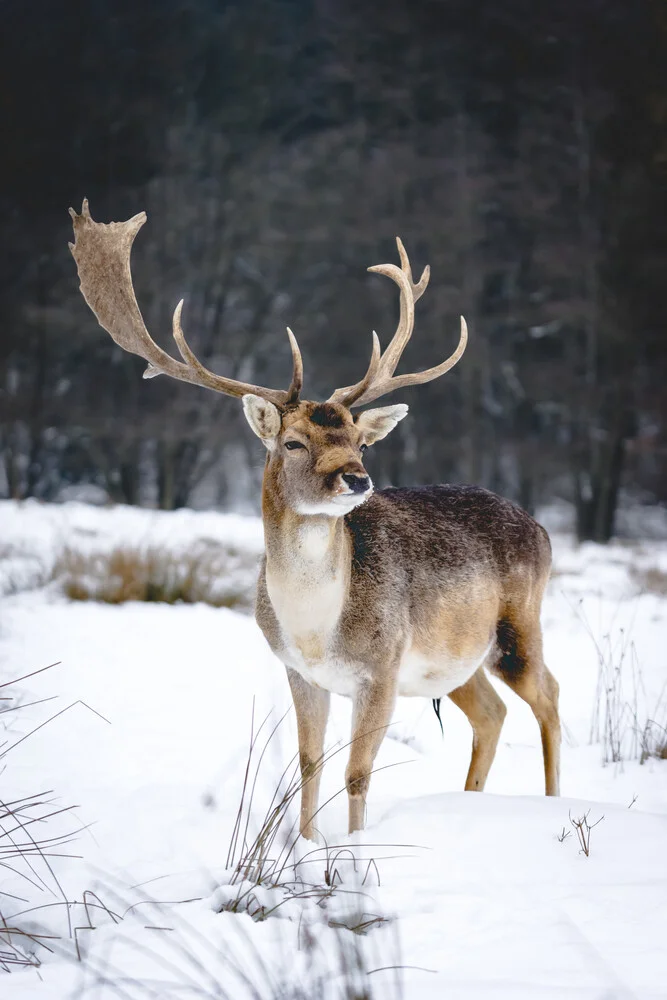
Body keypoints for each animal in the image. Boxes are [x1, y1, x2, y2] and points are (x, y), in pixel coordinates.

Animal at [69, 203, 560, 844]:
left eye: (359, 441)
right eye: (294, 442)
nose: (357, 479)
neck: (312, 627)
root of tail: (544, 530)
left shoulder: (381, 666)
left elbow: (357, 772)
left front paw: (351, 849)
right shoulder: (299, 672)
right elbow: (309, 760)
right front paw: (306, 843)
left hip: (517, 624)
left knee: (548, 696)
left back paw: (554, 804)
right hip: (452, 662)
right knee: (494, 712)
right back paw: (471, 803)